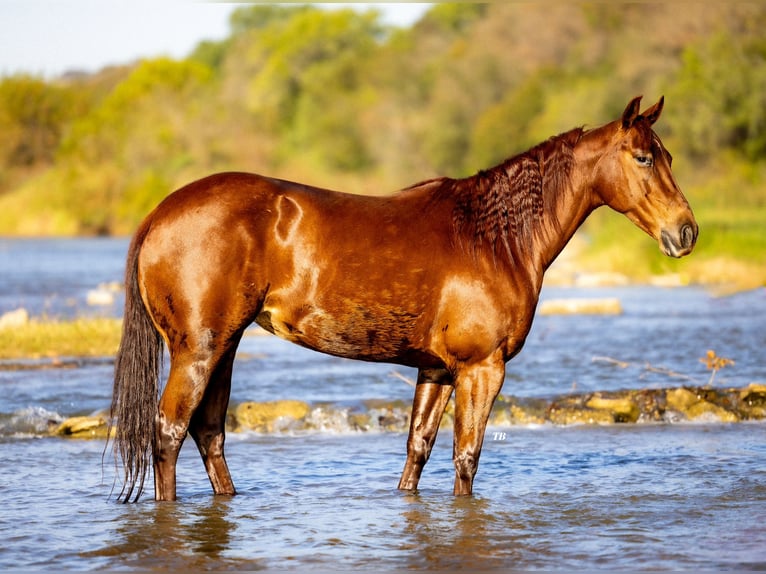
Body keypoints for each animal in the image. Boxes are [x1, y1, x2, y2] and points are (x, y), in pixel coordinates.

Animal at [109, 97, 704, 502]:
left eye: (669, 155)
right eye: (643, 158)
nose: (686, 232)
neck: (493, 237)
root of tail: (160, 213)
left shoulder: (436, 369)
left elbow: (418, 450)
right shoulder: (481, 369)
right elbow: (467, 458)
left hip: (224, 347)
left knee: (207, 433)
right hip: (199, 351)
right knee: (168, 433)